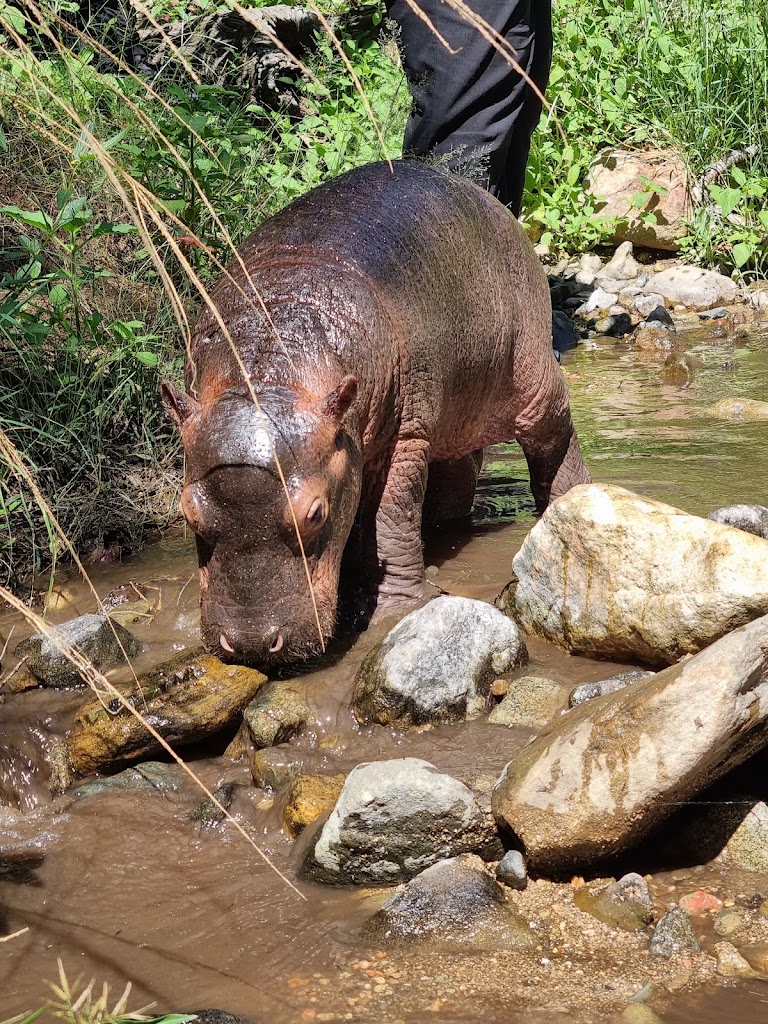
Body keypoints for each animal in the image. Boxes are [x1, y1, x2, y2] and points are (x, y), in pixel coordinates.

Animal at [162, 160, 591, 667]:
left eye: (315, 513)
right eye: (188, 513)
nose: (251, 644)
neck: (267, 374)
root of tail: (490, 200)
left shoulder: (404, 438)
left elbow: (390, 517)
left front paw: (393, 610)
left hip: (532, 375)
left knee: (555, 442)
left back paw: (568, 507)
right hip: (447, 418)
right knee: (456, 474)